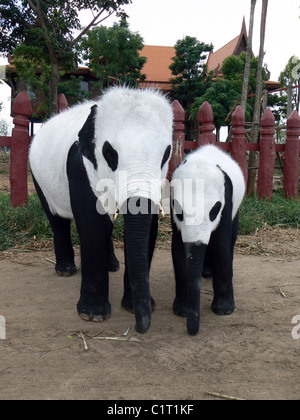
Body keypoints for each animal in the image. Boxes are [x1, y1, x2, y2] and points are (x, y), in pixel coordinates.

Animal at [29, 86, 173, 334]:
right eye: (109, 154)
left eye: (166, 154)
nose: (140, 327)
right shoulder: (79, 166)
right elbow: (92, 224)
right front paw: (92, 315)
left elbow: (147, 227)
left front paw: (134, 306)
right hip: (39, 176)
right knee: (56, 218)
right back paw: (65, 270)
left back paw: (112, 265)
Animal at [170, 144, 245, 334]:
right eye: (179, 212)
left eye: (214, 210)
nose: (192, 331)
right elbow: (178, 248)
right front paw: (182, 309)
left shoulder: (226, 198)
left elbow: (222, 245)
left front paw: (224, 309)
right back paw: (205, 271)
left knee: (231, 238)